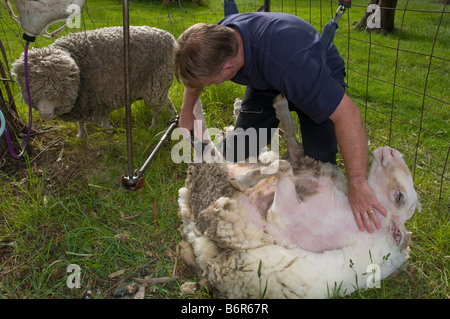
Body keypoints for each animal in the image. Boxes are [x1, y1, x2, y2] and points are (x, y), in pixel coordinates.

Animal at [11, 26, 177, 139]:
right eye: (29, 88)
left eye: (60, 88)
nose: (45, 115)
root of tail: (169, 37)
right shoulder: (82, 102)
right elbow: (80, 121)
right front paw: (81, 135)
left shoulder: (94, 98)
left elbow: (102, 119)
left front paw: (108, 129)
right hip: (156, 84)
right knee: (161, 105)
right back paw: (161, 123)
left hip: (157, 81)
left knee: (161, 106)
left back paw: (163, 124)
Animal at [178, 95, 420, 300]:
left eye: (400, 197)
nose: (391, 151)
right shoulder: (309, 169)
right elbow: (291, 148)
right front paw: (280, 106)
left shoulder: (287, 215)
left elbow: (283, 165)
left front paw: (244, 180)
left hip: (212, 191)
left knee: (208, 152)